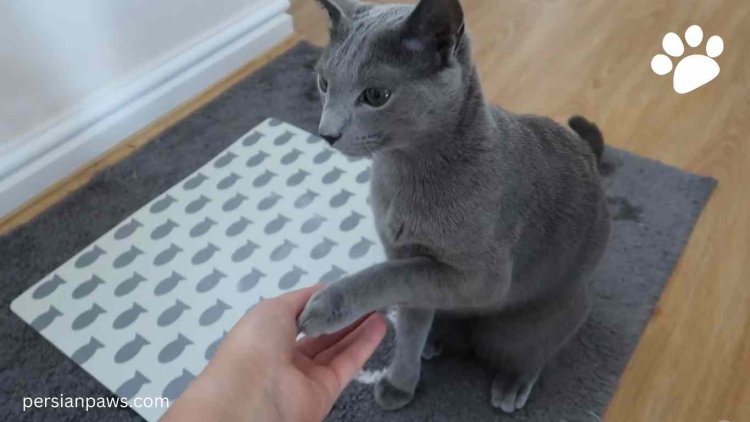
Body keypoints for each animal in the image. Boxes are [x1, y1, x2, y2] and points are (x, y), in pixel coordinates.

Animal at [296, 0, 612, 412]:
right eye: (324, 83)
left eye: (376, 96)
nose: (327, 133)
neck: (403, 172)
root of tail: (589, 156)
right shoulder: (406, 256)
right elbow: (410, 317)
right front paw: (400, 382)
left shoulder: (481, 279)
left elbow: (388, 276)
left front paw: (327, 306)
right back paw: (434, 343)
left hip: (528, 323)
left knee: (531, 351)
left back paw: (511, 385)